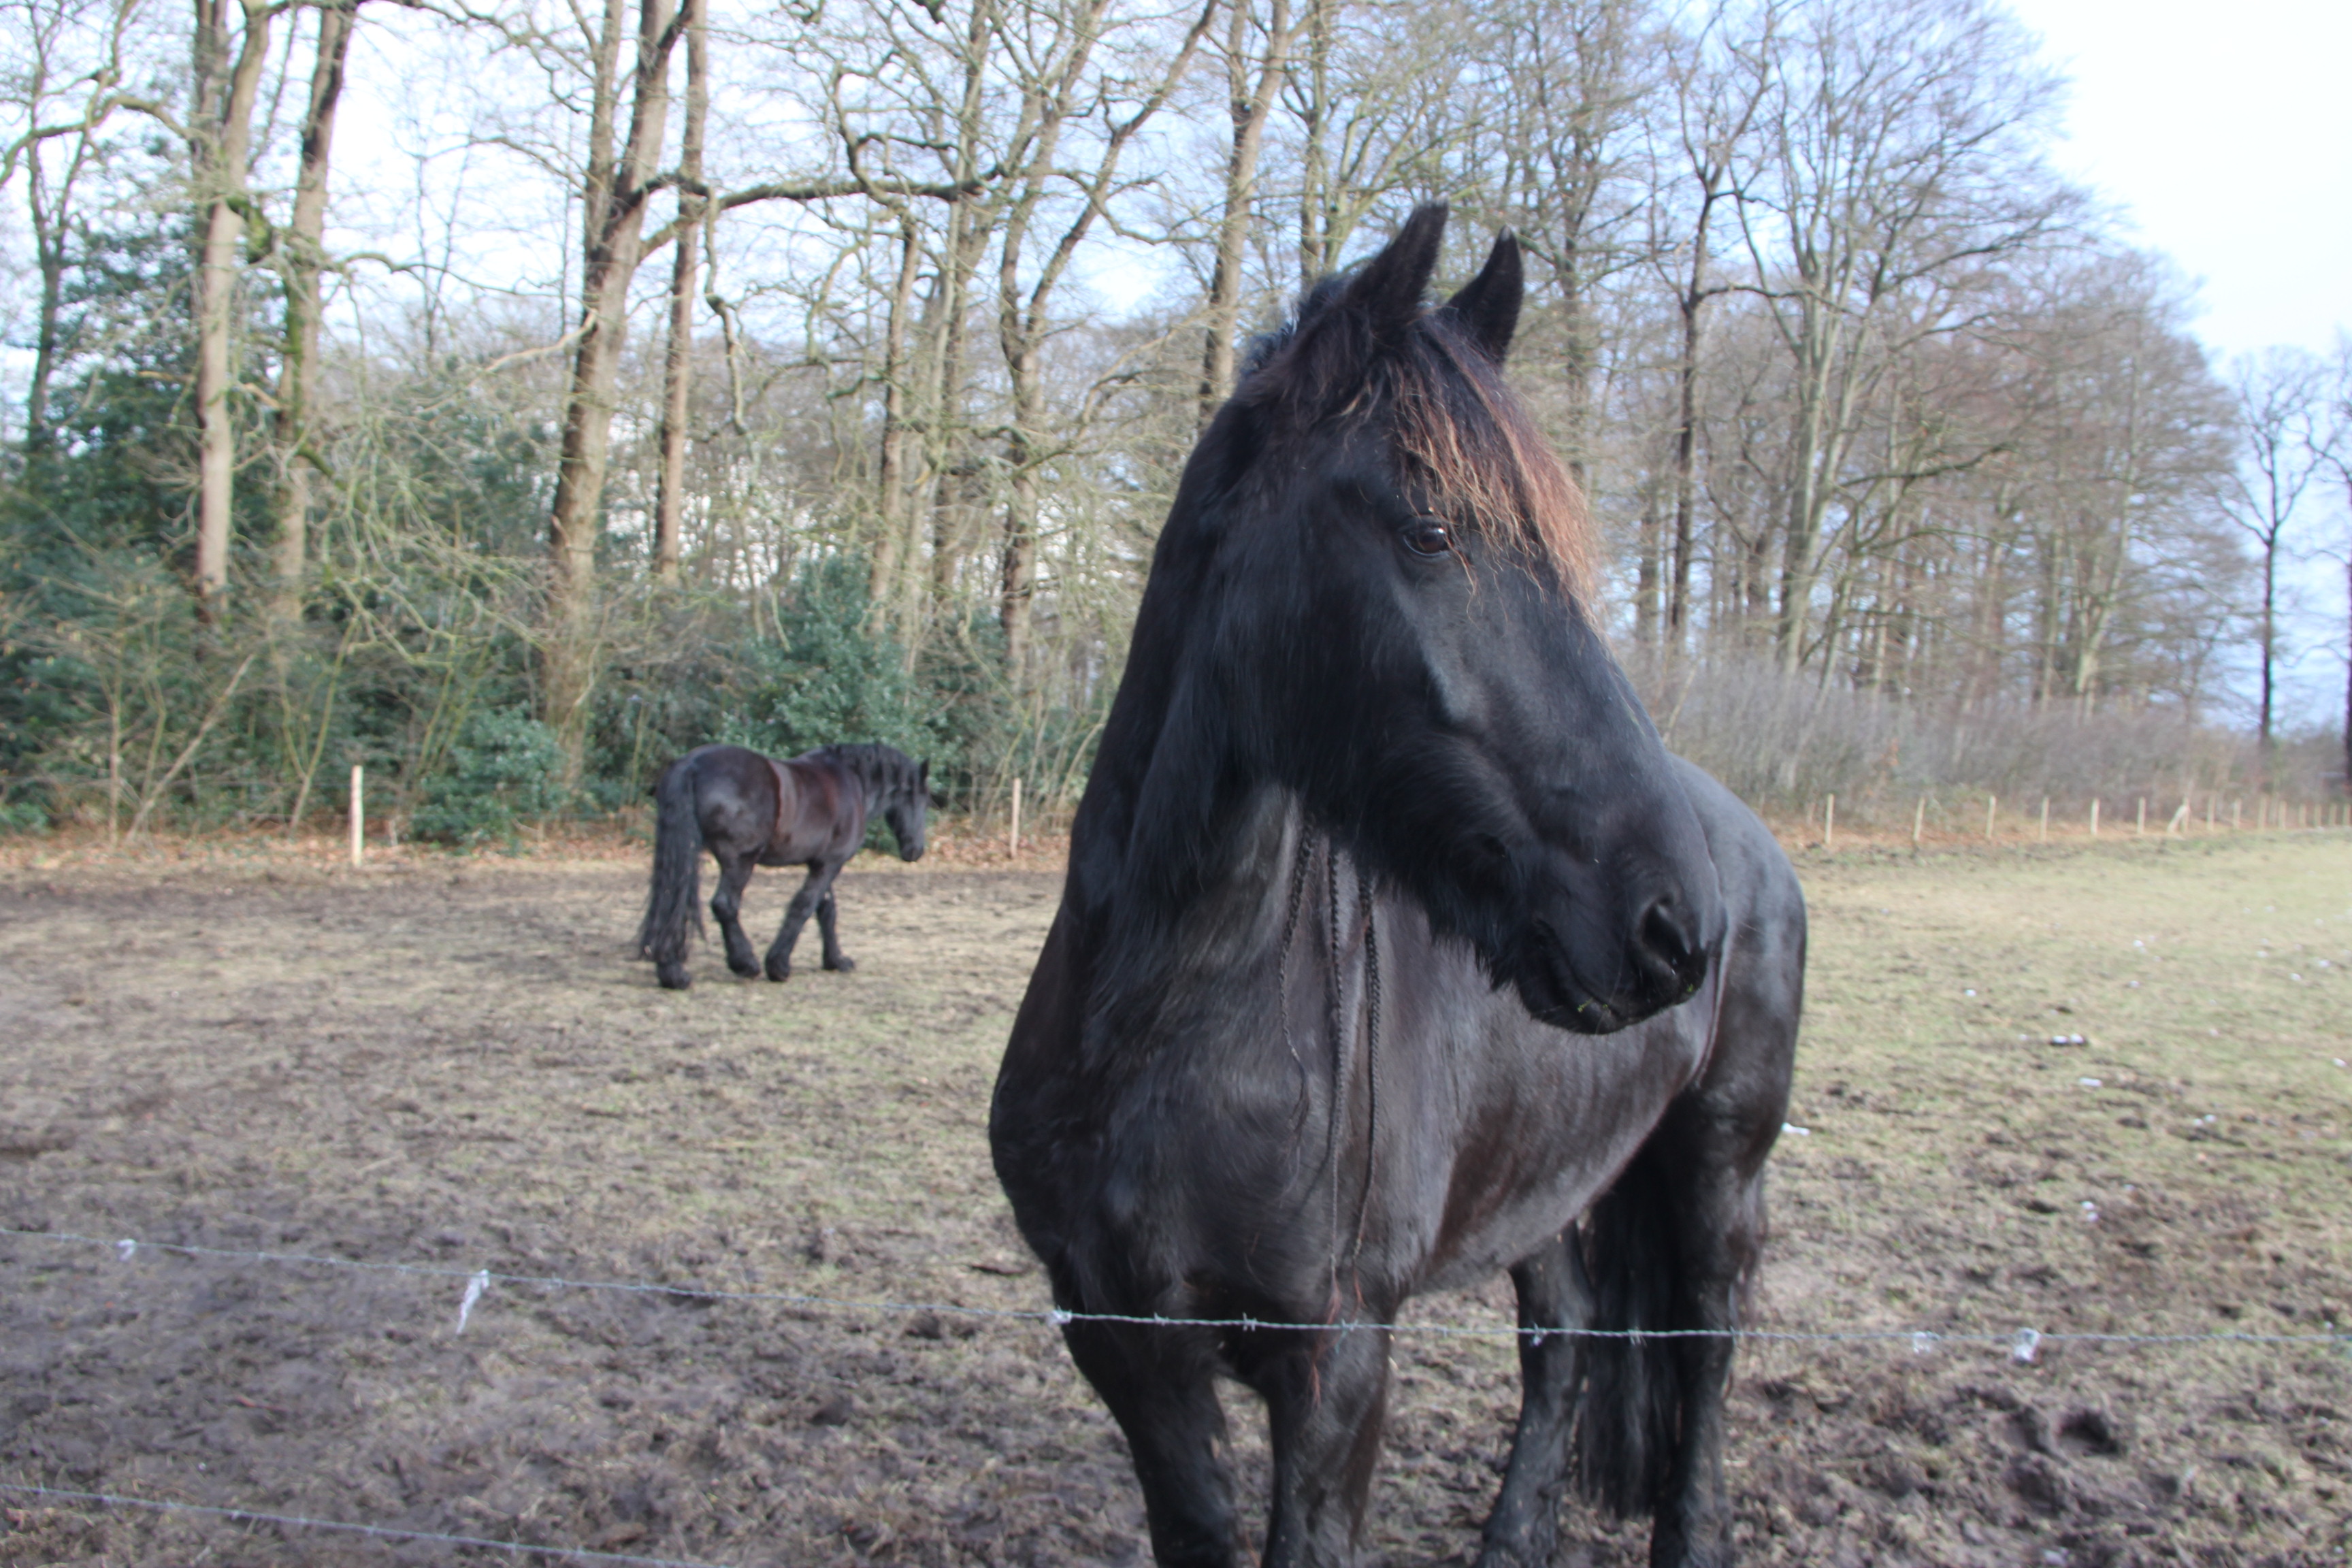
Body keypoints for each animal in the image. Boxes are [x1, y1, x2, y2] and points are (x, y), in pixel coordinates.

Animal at [636, 742, 930, 991]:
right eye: (921, 801)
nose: (915, 851)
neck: (852, 781)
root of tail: (692, 764)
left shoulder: (820, 863)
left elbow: (826, 911)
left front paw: (835, 960)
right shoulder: (830, 864)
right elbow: (804, 906)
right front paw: (778, 965)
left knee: (673, 903)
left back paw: (672, 972)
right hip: (740, 862)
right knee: (724, 905)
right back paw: (745, 963)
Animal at [989, 206, 1804, 1568]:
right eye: (1431, 529)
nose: (1676, 924)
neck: (1171, 1019)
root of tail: (1754, 845)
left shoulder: (1338, 1365)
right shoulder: (1128, 1347)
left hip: (1716, 1166)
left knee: (1705, 1352)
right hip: (1547, 1180)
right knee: (1563, 1336)